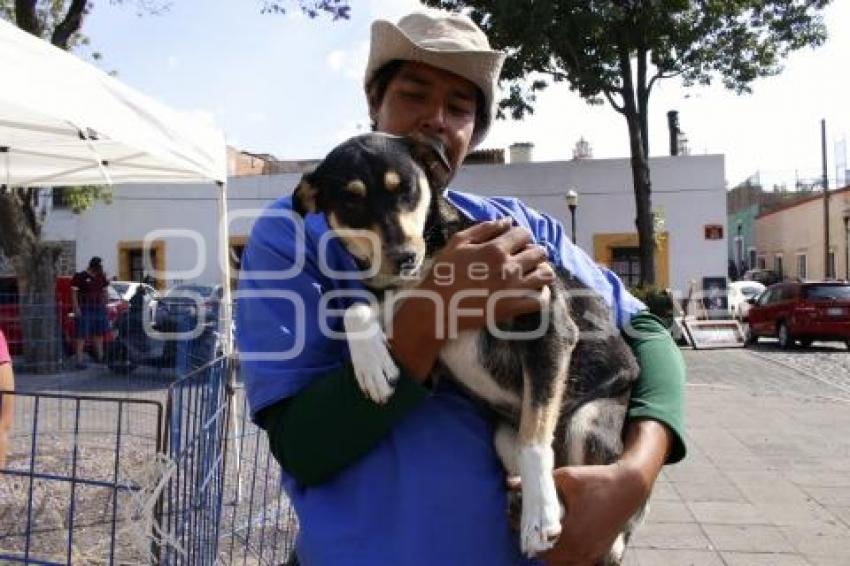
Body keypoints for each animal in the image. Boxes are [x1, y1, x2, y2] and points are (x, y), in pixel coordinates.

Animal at [292, 133, 644, 564]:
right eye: (351, 201)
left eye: (406, 188)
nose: (404, 257)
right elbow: (353, 309)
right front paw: (373, 365)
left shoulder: (549, 327)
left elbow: (534, 442)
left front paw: (538, 520)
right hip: (502, 435)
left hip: (588, 419)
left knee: (605, 511)